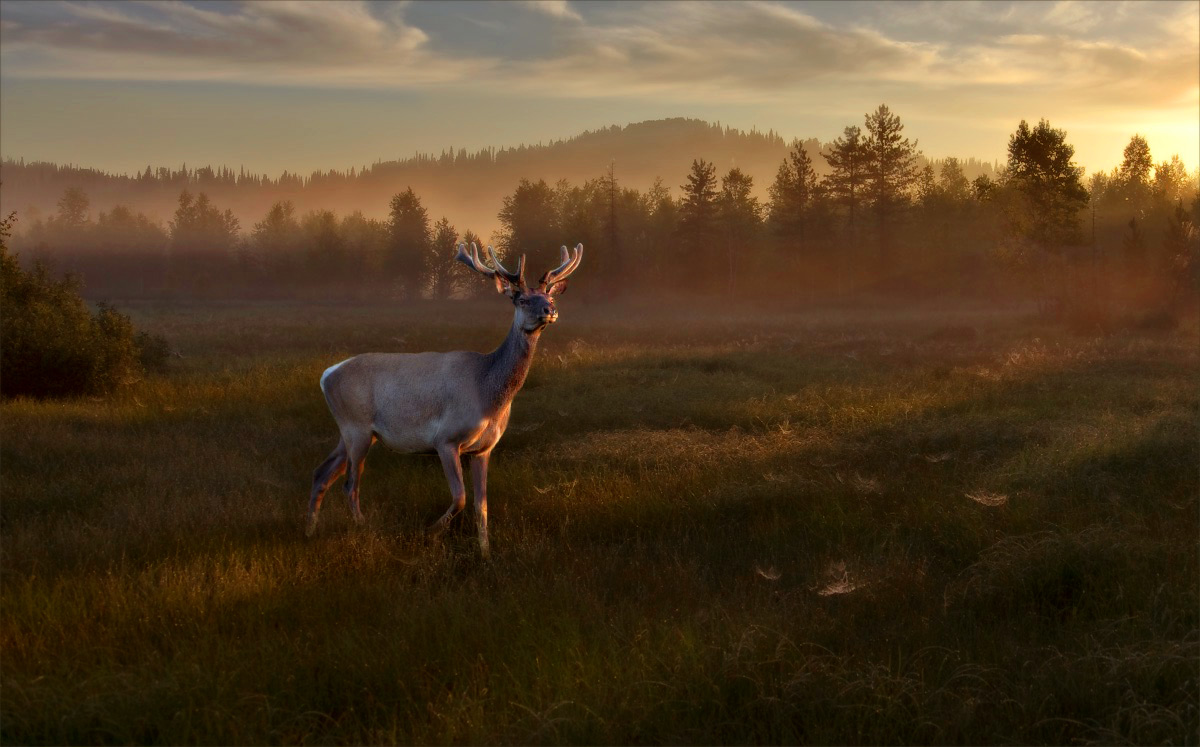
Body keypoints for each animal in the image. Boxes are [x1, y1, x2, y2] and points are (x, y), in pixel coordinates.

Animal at [302, 240, 578, 557]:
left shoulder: (484, 449)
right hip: (356, 427)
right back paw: (363, 528)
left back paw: (309, 531)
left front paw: (486, 553)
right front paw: (430, 533)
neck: (487, 392)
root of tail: (327, 375)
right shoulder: (445, 439)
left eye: (547, 294)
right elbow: (460, 497)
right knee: (350, 485)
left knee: (321, 473)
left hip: (353, 432)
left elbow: (481, 505)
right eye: (520, 299)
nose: (550, 309)